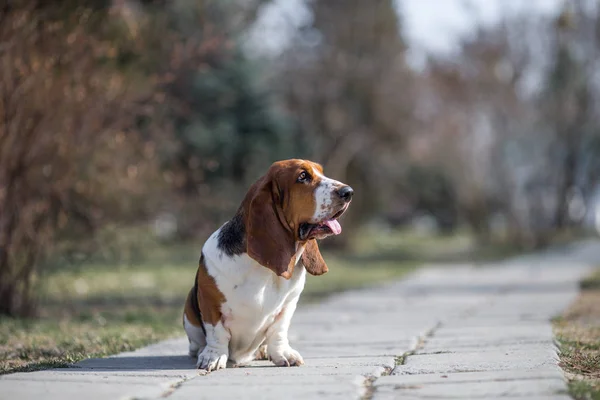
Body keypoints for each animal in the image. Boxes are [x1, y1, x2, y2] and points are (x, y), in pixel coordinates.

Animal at [183, 159, 352, 372]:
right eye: (303, 176)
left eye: (321, 172)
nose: (348, 191)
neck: (263, 271)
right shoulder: (209, 302)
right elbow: (217, 333)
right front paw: (213, 357)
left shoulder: (288, 305)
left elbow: (278, 332)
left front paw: (283, 355)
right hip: (189, 310)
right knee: (196, 342)